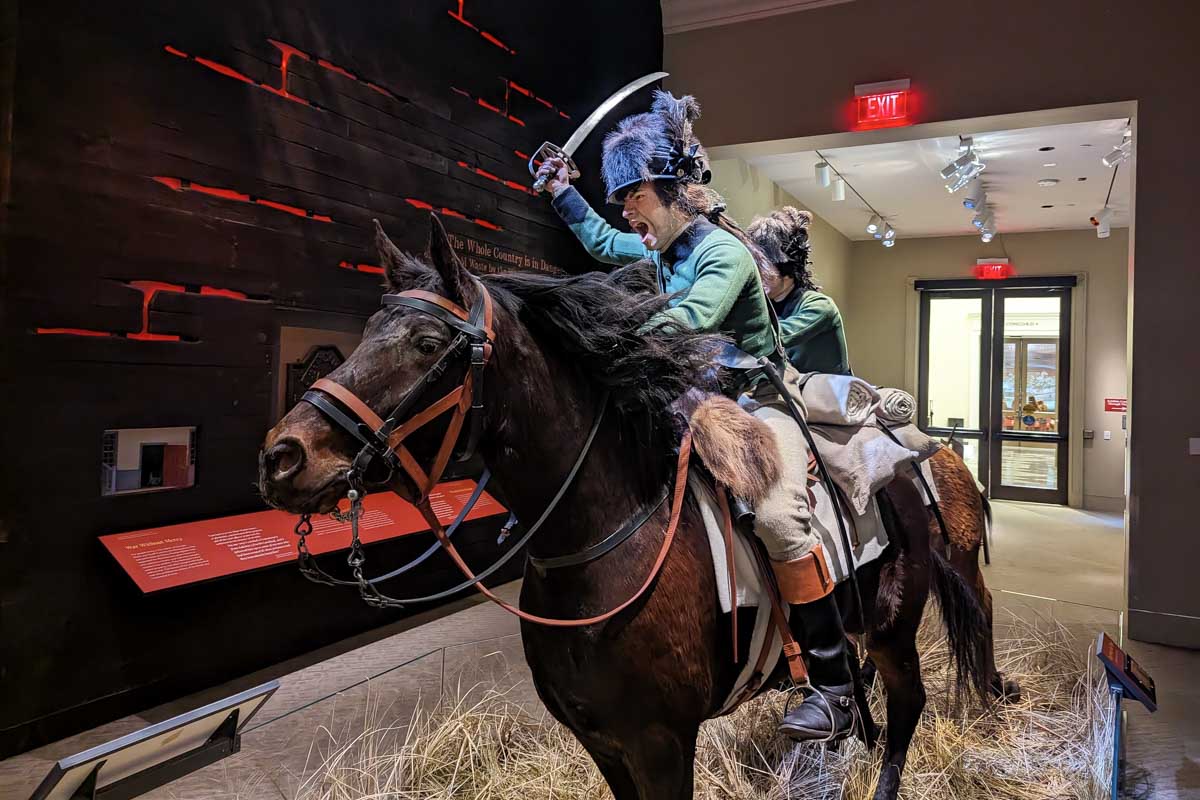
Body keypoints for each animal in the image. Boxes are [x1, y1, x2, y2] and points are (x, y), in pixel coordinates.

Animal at [258, 216, 993, 800]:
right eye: (366, 331)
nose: (283, 455)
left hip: (894, 629)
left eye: (428, 344)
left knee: (903, 709)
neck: (604, 540)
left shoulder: (661, 744)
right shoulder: (604, 745)